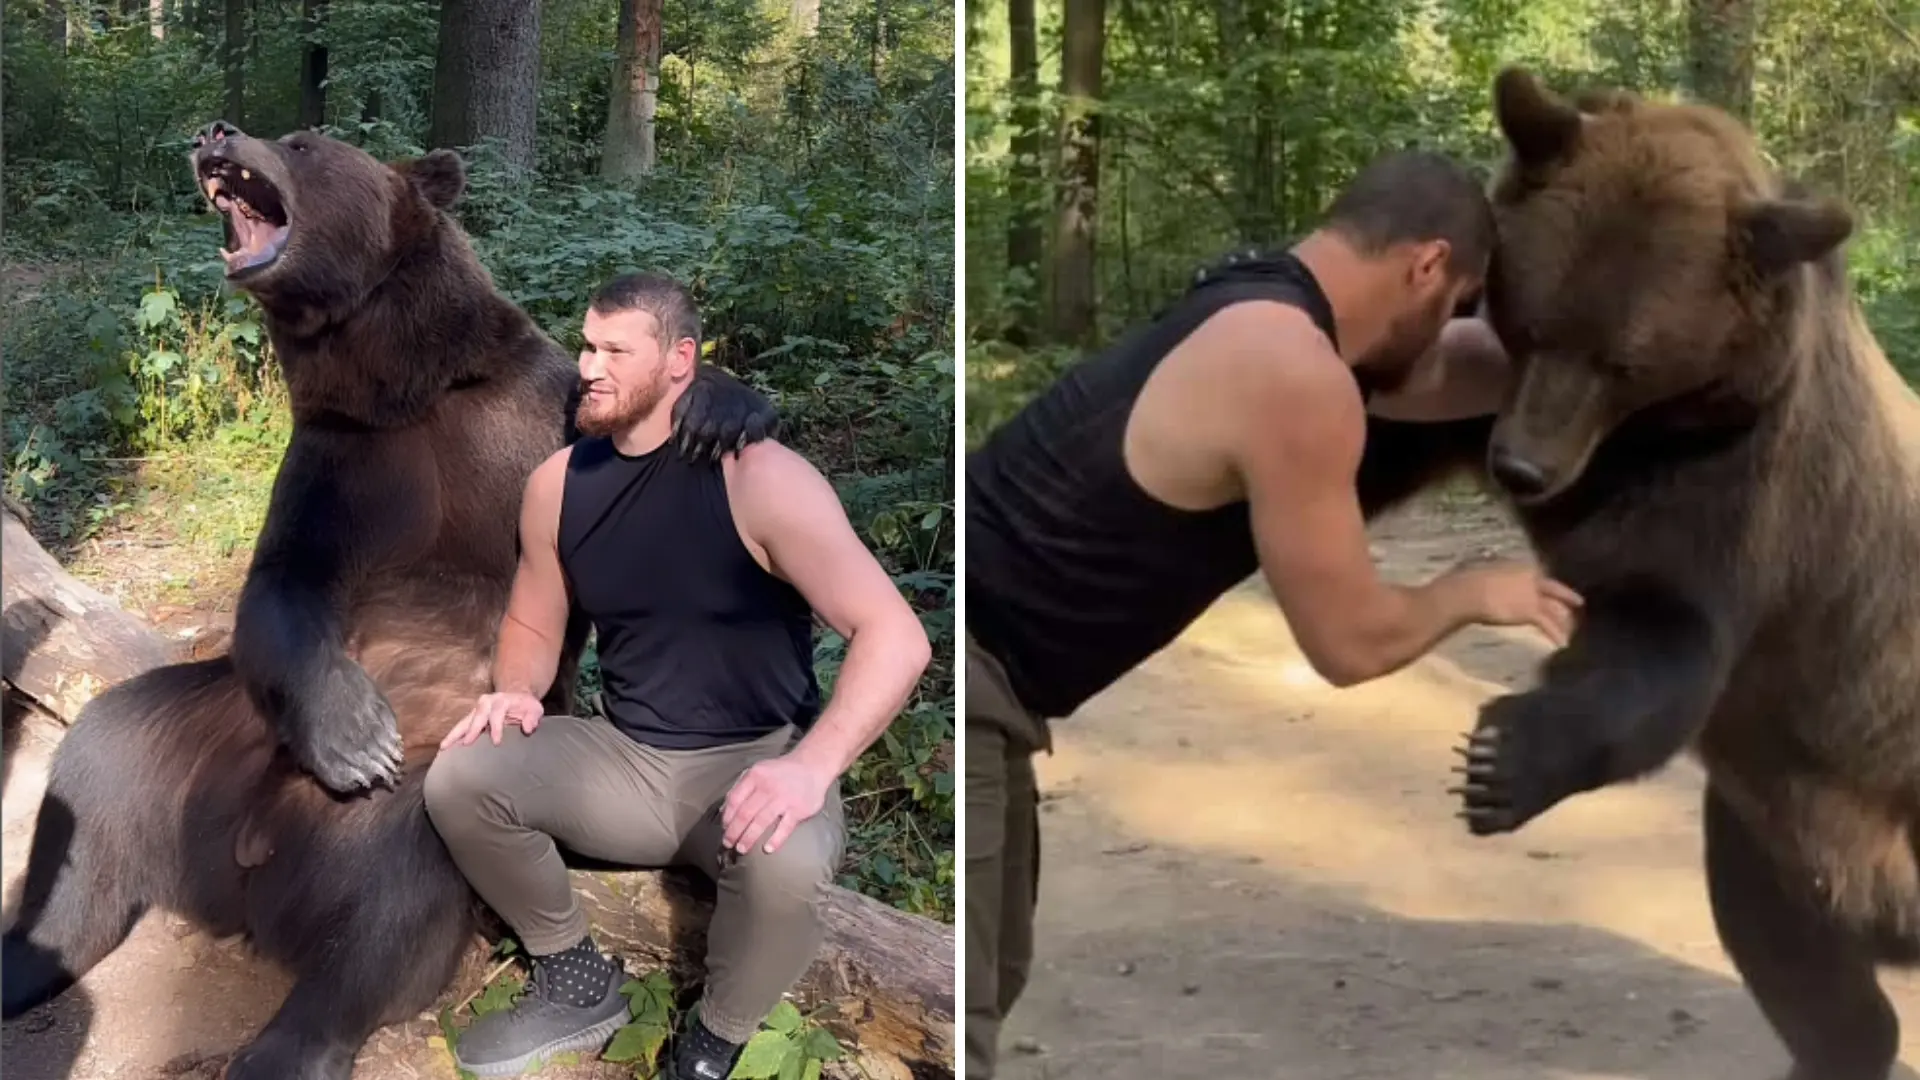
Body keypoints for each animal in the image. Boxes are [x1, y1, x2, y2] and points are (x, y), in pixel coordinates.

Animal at [0, 119, 781, 1080]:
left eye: (303, 140)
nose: (216, 130)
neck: (405, 382)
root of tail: (240, 875)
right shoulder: (344, 461)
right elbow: (285, 584)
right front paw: (354, 732)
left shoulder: (525, 427)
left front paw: (722, 404)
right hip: (199, 730)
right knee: (94, 784)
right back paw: (26, 956)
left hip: (411, 806)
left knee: (388, 915)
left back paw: (284, 1045)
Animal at [1404, 68, 1920, 1080]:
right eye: (1532, 319)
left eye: (1625, 358)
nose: (1523, 469)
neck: (1639, 441)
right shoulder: (1484, 391)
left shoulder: (1745, 486)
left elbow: (1664, 637)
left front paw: (1501, 759)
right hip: (1778, 837)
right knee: (1804, 968)